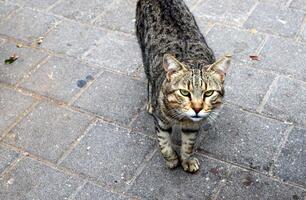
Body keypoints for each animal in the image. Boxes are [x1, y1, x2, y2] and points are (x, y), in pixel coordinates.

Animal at [135, 0, 231, 172]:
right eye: (184, 92)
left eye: (208, 93)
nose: (197, 108)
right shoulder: (161, 122)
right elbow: (164, 143)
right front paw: (172, 160)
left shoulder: (193, 126)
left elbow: (188, 145)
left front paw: (187, 160)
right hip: (145, 54)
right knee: (149, 79)